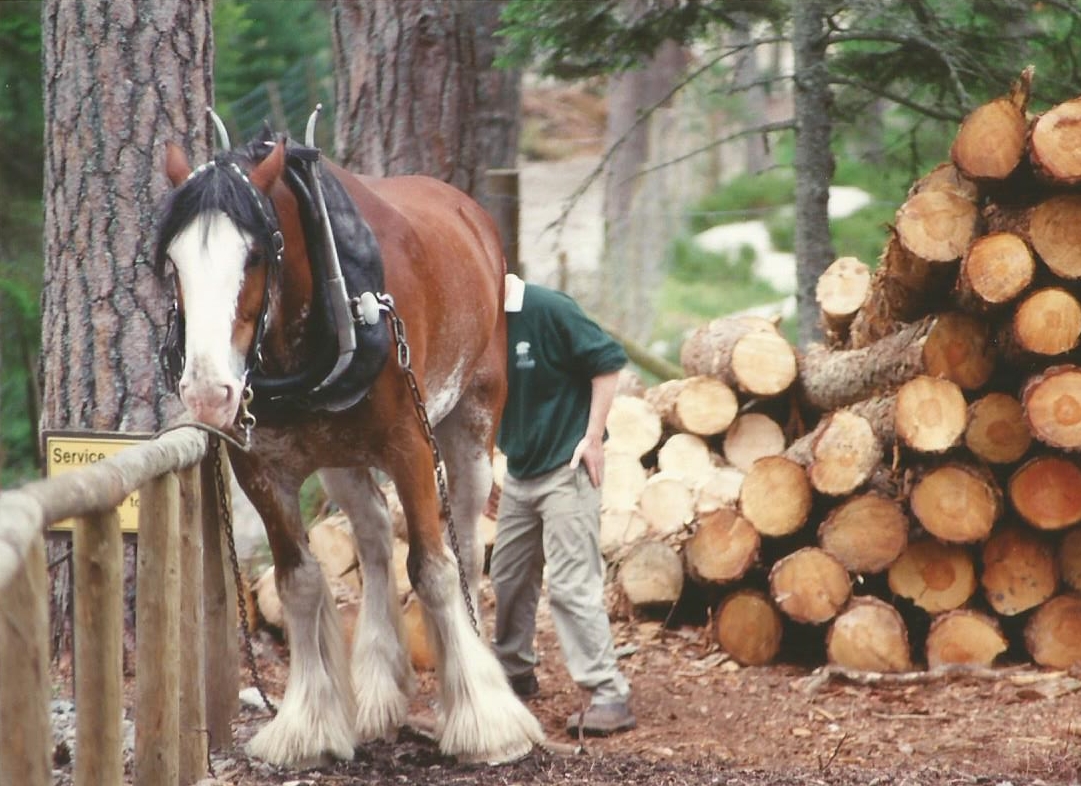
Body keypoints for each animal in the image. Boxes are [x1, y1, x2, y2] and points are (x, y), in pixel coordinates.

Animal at [154, 116, 540, 769]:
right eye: (173, 261)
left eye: (255, 254)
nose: (208, 391)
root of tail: (470, 213)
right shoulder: (262, 468)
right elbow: (300, 581)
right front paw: (306, 725)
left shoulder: (411, 446)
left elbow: (433, 568)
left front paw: (486, 724)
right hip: (339, 456)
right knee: (376, 535)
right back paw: (382, 686)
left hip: (471, 422)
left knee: (462, 540)